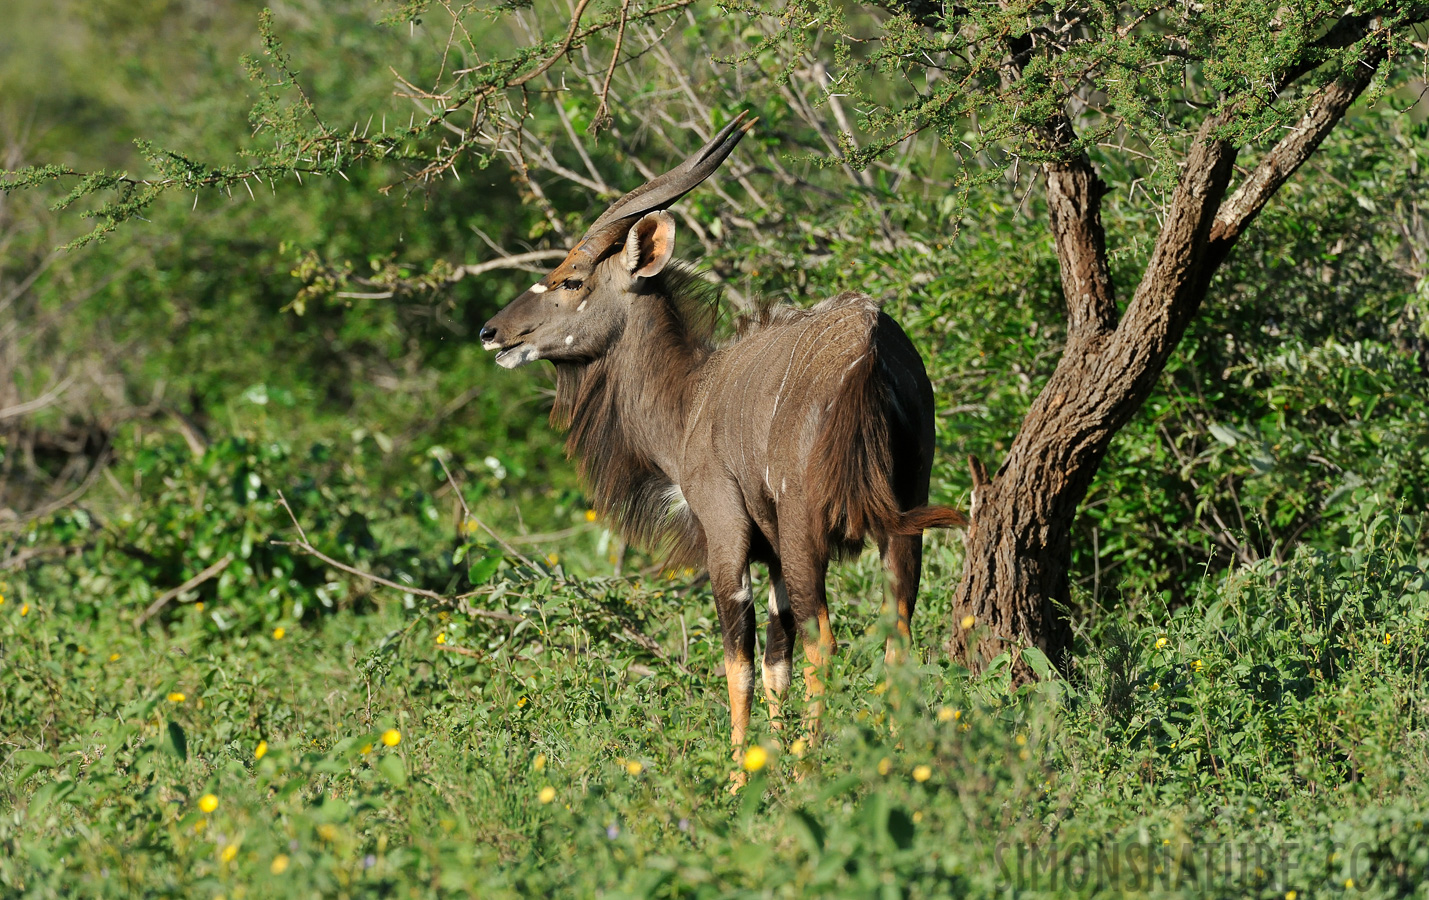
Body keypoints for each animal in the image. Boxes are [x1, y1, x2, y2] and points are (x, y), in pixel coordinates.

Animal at [477, 112, 960, 760]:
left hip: (807, 528)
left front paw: (743, 772)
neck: (692, 399)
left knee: (824, 639)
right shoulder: (772, 554)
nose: (491, 332)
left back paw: (813, 766)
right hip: (903, 516)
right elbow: (776, 659)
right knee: (896, 630)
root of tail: (872, 347)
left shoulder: (727, 534)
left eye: (571, 280)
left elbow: (740, 659)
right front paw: (770, 760)